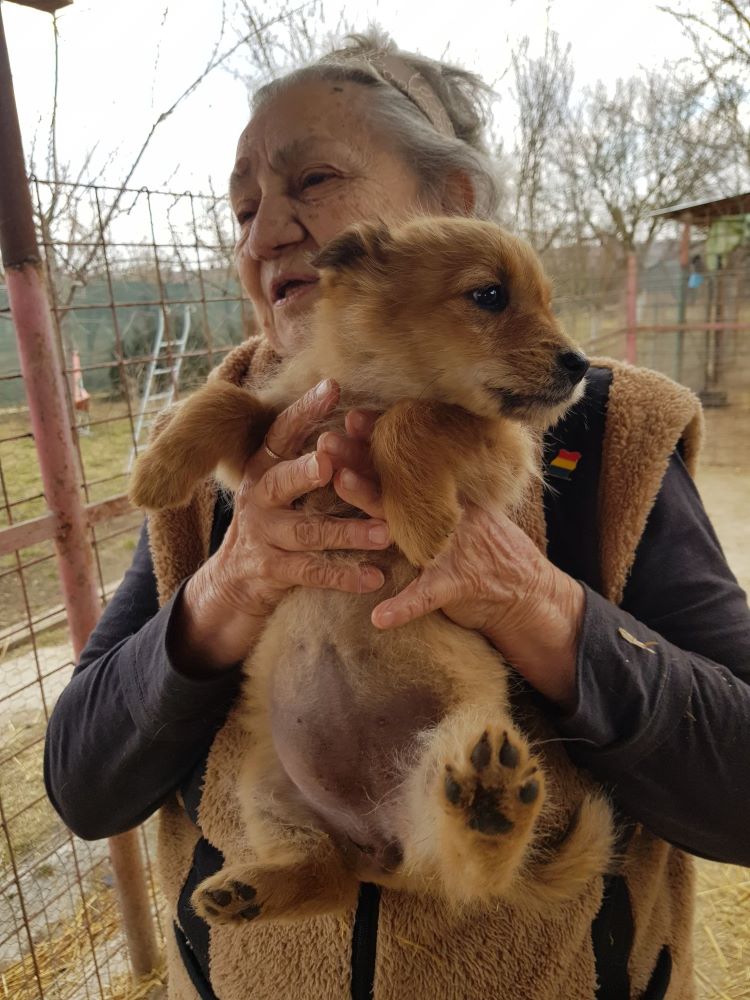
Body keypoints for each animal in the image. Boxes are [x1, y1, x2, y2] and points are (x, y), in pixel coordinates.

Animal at [132, 217, 612, 920]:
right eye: (490, 296)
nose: (579, 364)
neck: (372, 387)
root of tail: (379, 850)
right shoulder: (271, 446)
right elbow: (227, 401)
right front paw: (158, 468)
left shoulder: (500, 452)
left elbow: (422, 417)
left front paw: (419, 518)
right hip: (268, 787)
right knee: (325, 872)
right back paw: (248, 891)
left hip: (444, 756)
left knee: (468, 876)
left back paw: (490, 806)